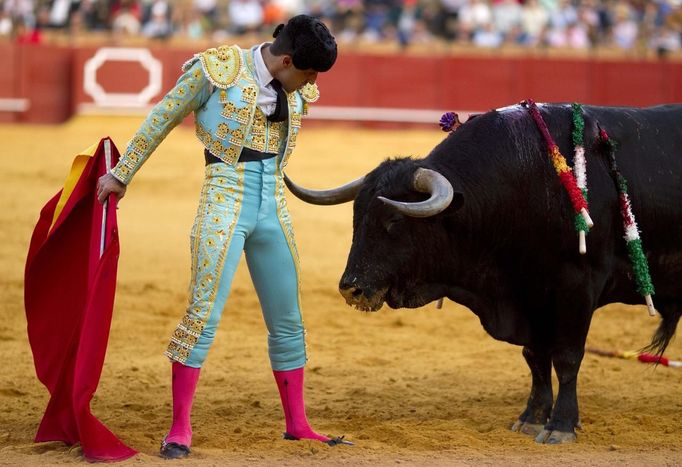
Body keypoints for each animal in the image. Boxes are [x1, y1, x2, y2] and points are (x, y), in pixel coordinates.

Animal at [284, 103, 680, 446]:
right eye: (356, 218)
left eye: (394, 222)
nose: (351, 289)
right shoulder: (530, 295)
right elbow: (536, 357)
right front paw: (530, 418)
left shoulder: (577, 287)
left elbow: (567, 357)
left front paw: (560, 426)